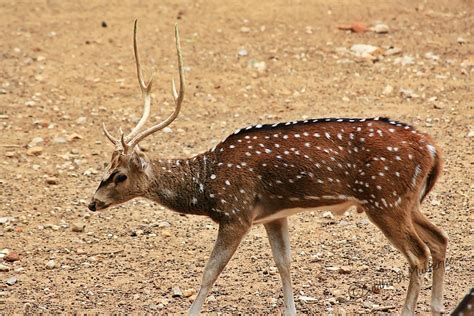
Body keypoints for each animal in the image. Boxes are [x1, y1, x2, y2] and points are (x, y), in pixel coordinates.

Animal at [89, 20, 448, 316]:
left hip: (384, 200)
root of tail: (432, 149)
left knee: (418, 254)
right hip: (408, 202)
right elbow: (284, 263)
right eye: (105, 167)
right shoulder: (274, 215)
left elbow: (210, 271)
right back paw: (437, 307)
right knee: (440, 240)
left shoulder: (236, 213)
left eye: (119, 175)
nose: (92, 203)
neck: (205, 186)